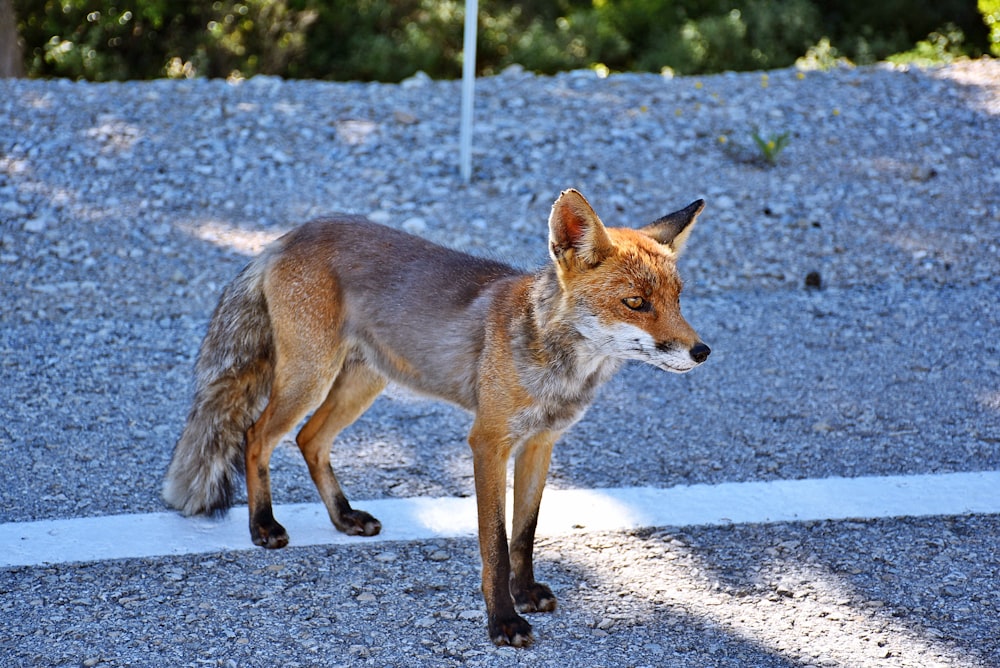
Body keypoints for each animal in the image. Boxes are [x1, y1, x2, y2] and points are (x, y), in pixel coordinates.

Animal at [162, 189, 712, 648]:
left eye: (677, 299)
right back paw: (262, 525)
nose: (702, 351)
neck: (558, 371)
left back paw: (343, 517)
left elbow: (525, 534)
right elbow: (495, 544)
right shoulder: (487, 442)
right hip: (309, 377)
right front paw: (503, 621)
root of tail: (290, 235)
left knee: (309, 440)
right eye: (636, 303)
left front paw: (526, 592)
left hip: (362, 385)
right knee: (257, 436)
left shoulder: (540, 444)